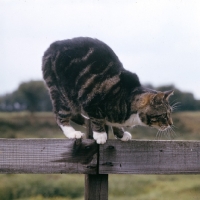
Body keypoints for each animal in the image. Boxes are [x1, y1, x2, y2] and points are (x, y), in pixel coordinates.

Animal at [42, 36, 173, 144]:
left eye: (170, 112)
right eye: (164, 114)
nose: (171, 124)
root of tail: (53, 46)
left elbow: (114, 124)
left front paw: (120, 134)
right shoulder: (90, 101)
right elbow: (97, 118)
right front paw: (100, 134)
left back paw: (86, 122)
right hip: (62, 93)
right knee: (60, 114)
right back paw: (72, 132)